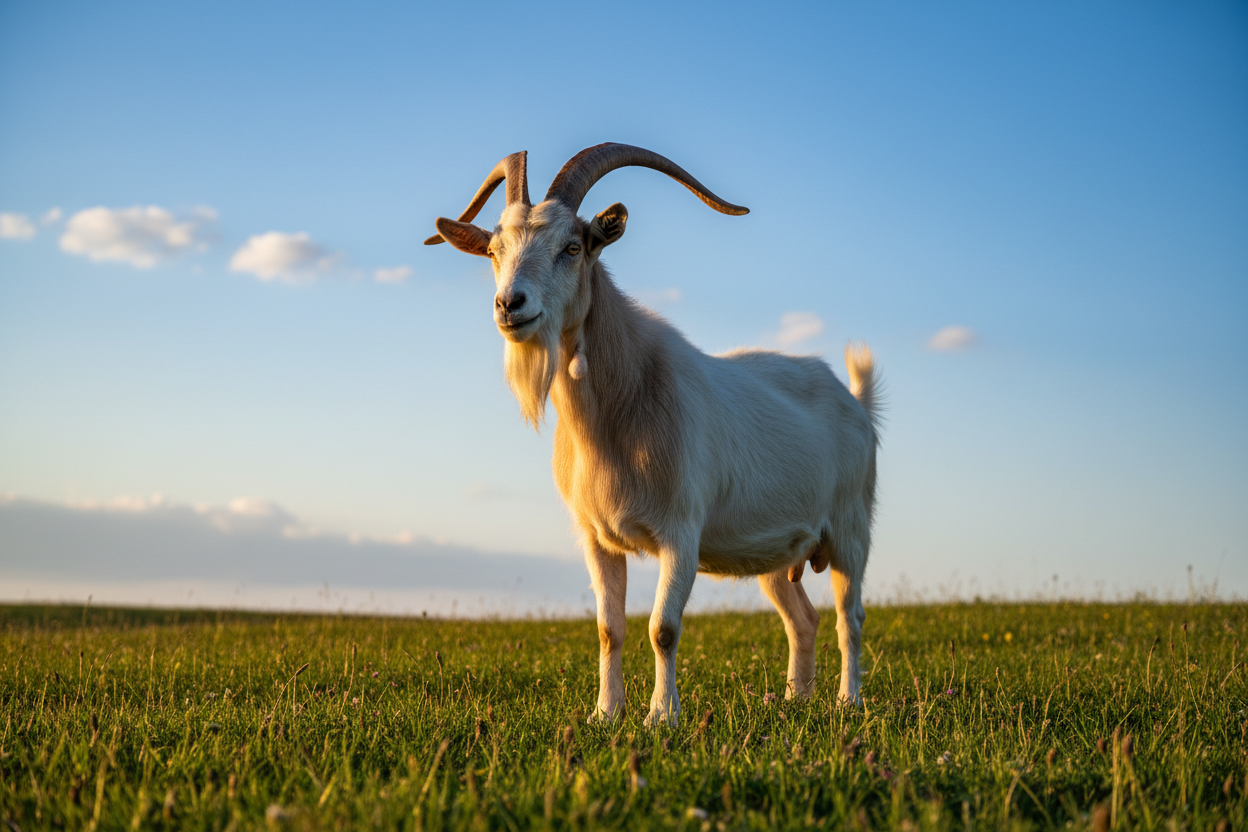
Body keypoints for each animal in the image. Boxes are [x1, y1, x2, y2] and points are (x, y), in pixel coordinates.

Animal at [428, 143, 880, 725]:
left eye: (572, 246)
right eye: (492, 250)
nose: (511, 305)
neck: (619, 411)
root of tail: (856, 402)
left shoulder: (680, 533)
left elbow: (662, 628)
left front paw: (661, 716)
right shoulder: (596, 538)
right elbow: (608, 629)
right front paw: (605, 713)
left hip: (850, 527)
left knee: (852, 615)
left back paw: (849, 701)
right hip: (779, 554)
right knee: (803, 619)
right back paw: (794, 700)